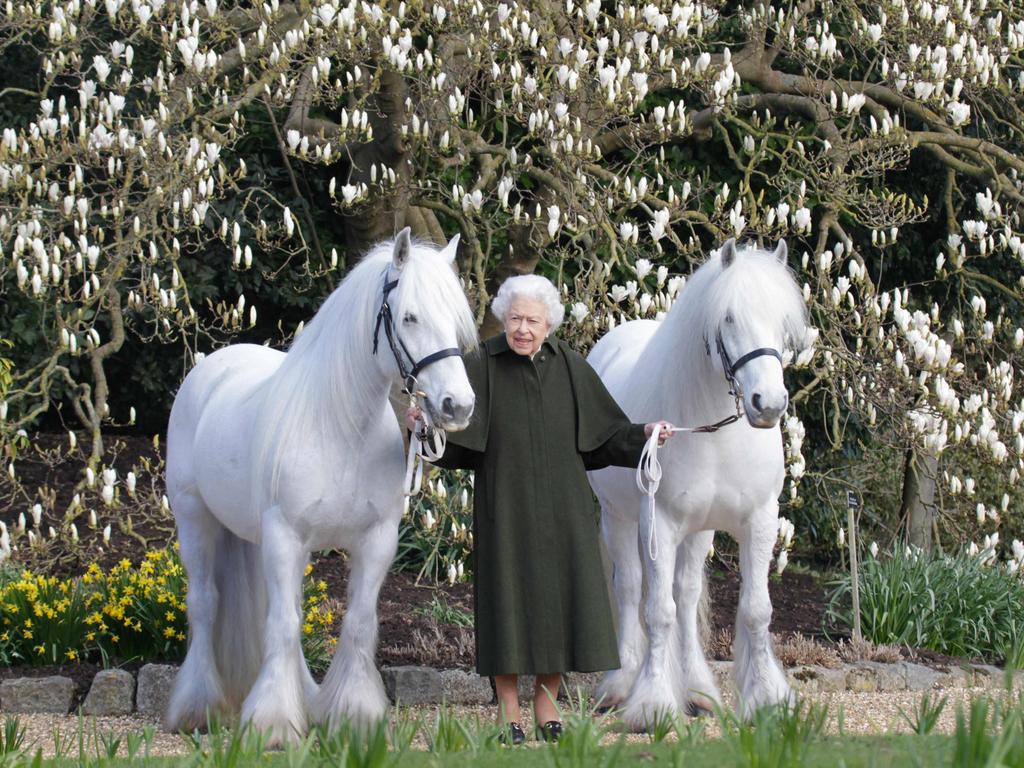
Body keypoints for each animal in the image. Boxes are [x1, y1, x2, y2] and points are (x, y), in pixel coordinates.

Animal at [163, 228, 475, 745]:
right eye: (409, 316)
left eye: (454, 321)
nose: (458, 405)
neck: (340, 427)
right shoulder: (285, 536)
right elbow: (284, 626)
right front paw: (272, 724)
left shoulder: (376, 541)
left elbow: (358, 623)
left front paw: (354, 716)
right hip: (196, 520)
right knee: (205, 605)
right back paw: (197, 707)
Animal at [589, 237, 811, 729]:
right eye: (728, 318)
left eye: (782, 322)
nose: (768, 404)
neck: (716, 432)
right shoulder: (660, 524)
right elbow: (657, 612)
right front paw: (652, 704)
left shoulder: (760, 521)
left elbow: (754, 610)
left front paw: (767, 698)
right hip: (619, 519)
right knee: (631, 588)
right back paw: (621, 684)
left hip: (699, 531)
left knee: (686, 595)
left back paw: (697, 690)